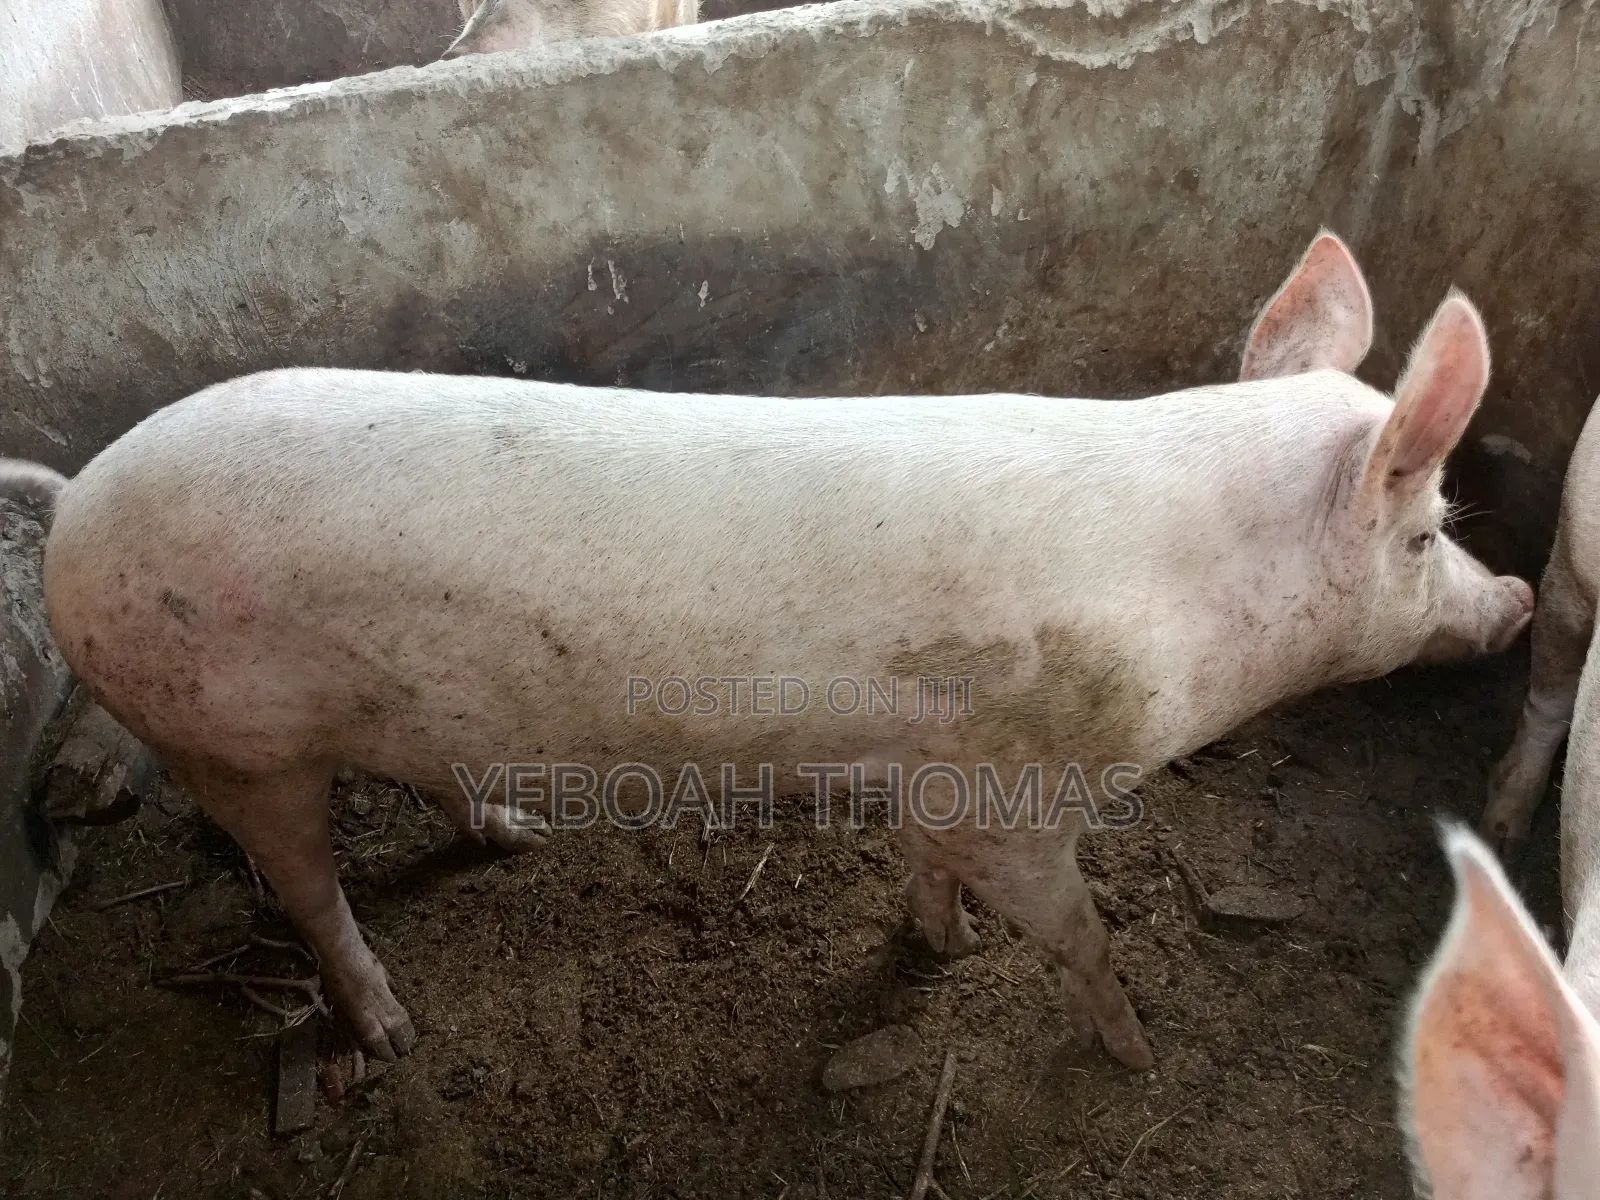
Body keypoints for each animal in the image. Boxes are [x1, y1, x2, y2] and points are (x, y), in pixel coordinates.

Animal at [36, 231, 1532, 1066]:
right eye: (1424, 533)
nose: (1517, 597)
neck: (1188, 602)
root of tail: (72, 507)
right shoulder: (1014, 788)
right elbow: (1075, 932)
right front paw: (1136, 1056)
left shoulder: (935, 766)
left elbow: (929, 873)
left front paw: (935, 951)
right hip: (224, 737)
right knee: (304, 889)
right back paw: (392, 1039)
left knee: (432, 781)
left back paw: (515, 834)